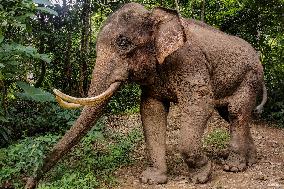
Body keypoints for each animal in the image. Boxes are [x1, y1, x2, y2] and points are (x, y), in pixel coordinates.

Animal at [25, 2, 266, 188]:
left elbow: (199, 105)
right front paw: (151, 180)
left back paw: (234, 167)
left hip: (250, 77)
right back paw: (250, 161)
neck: (156, 16)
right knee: (232, 113)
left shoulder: (190, 61)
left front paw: (201, 177)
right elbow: (151, 111)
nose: (30, 184)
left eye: (123, 42)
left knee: (235, 111)